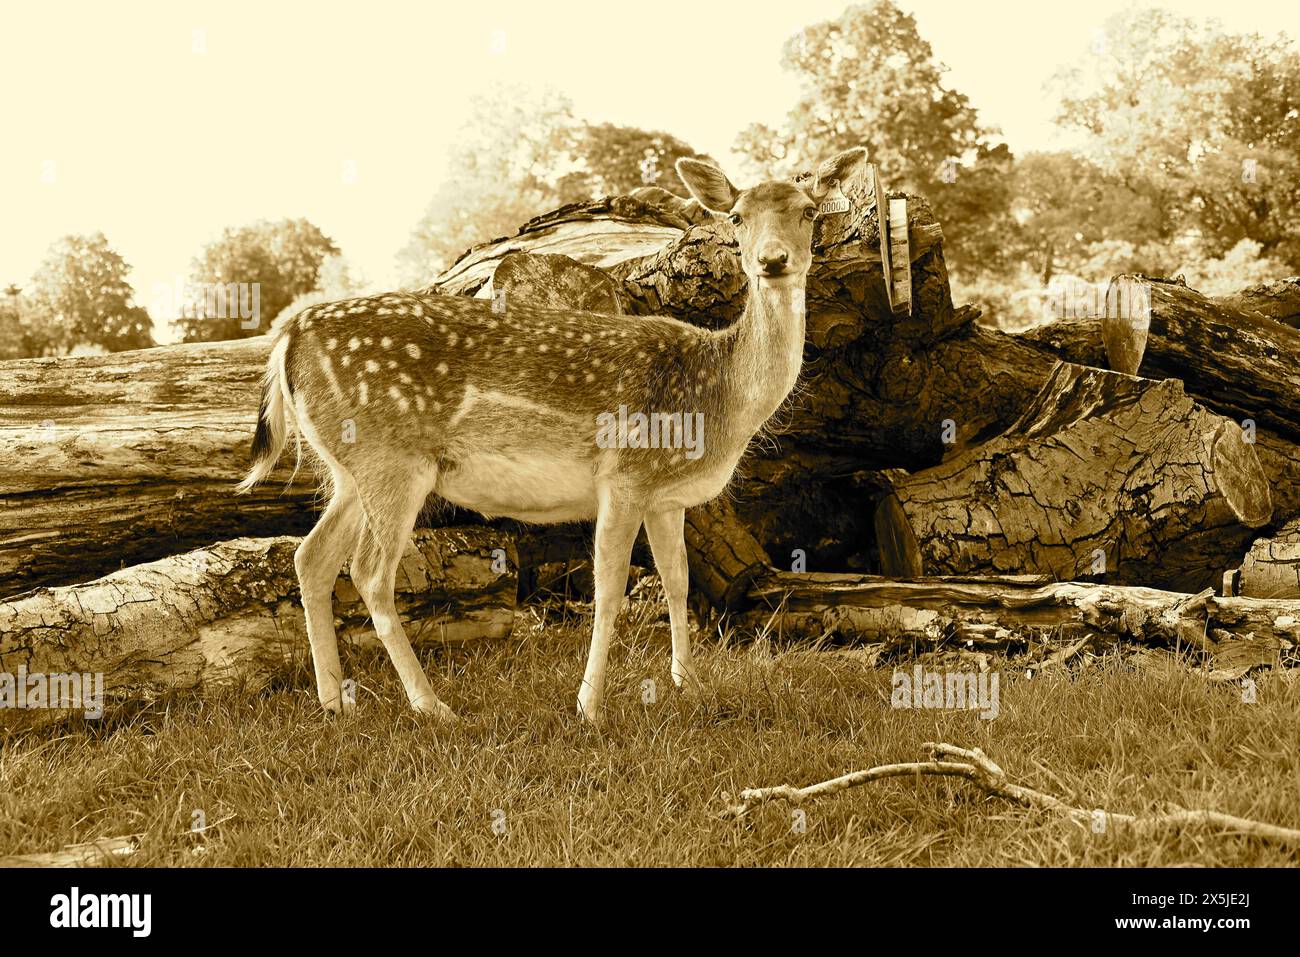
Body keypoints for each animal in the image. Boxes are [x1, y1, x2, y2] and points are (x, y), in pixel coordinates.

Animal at [236, 146, 868, 725]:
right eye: (736, 216)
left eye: (809, 211)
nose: (772, 260)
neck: (721, 400)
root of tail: (288, 337)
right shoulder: (625, 474)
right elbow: (609, 586)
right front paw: (590, 707)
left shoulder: (667, 497)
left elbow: (678, 581)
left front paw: (688, 685)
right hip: (390, 458)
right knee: (369, 573)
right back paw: (432, 705)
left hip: (349, 470)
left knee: (311, 557)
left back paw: (334, 701)